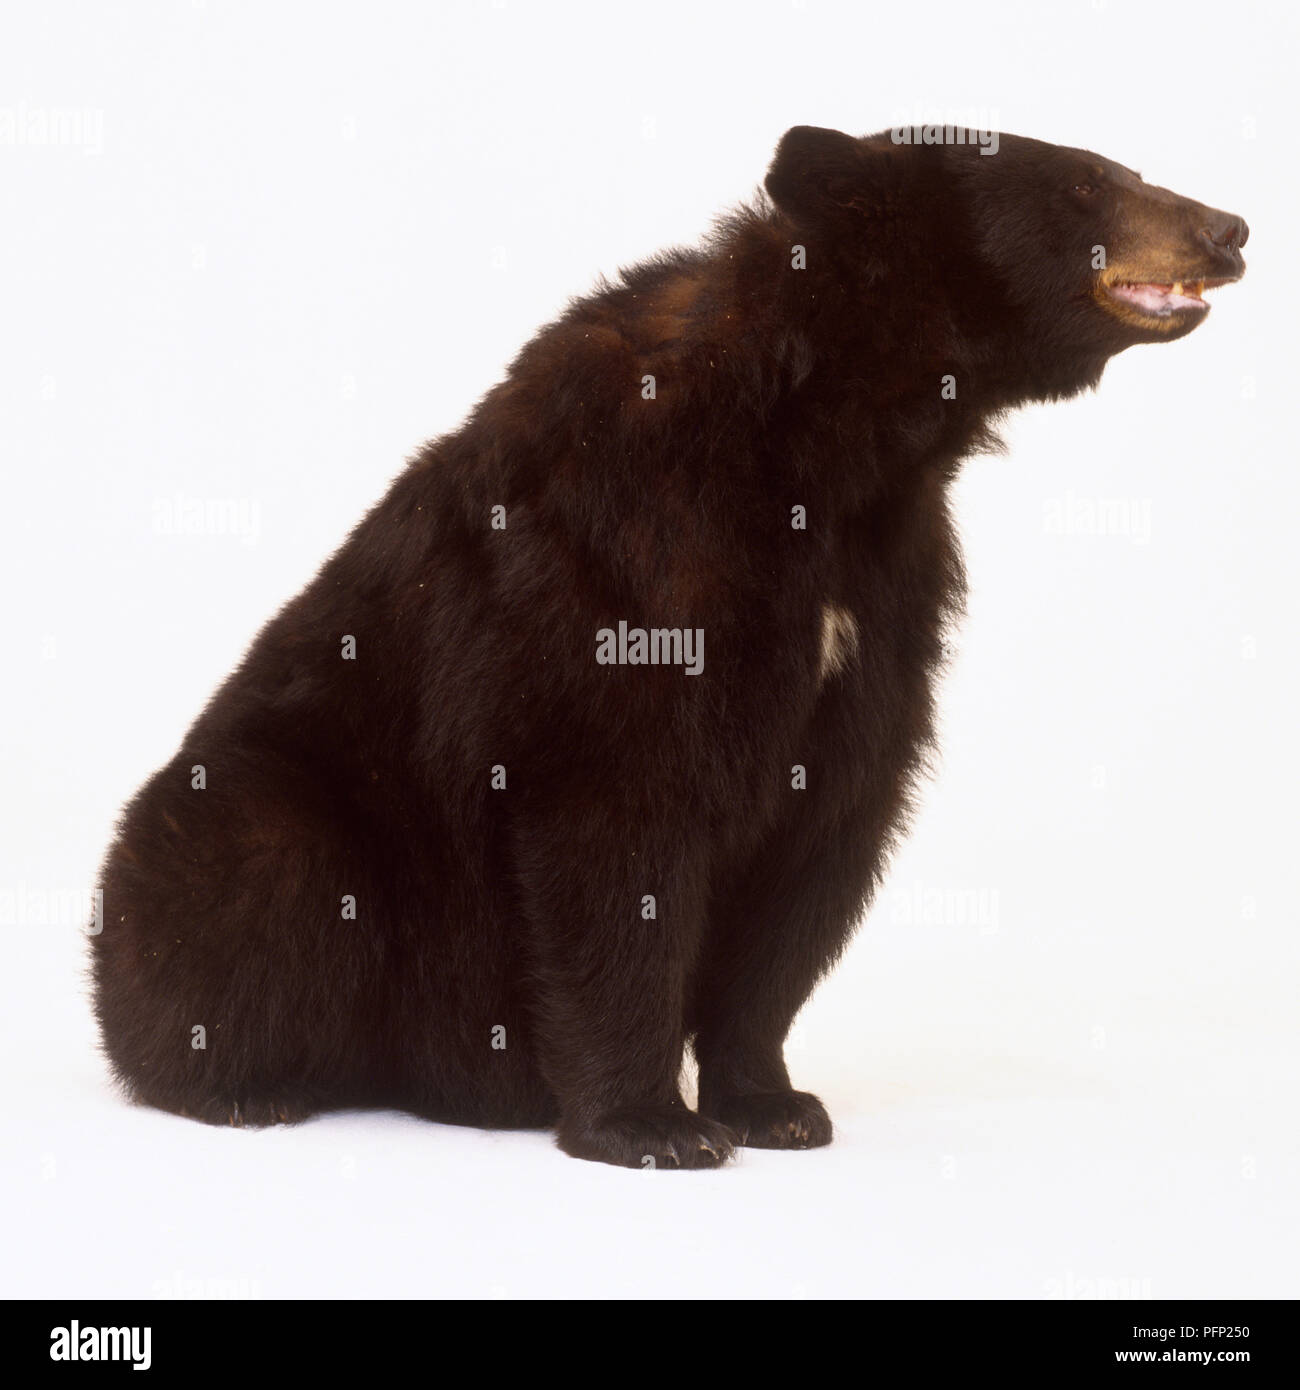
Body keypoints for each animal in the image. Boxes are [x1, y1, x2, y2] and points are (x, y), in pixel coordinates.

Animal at [91, 126, 1247, 1168]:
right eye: (1085, 182)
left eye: (1115, 168)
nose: (1229, 228)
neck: (828, 438)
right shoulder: (629, 569)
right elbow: (617, 829)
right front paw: (650, 1123)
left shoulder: (881, 602)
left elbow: (815, 851)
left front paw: (771, 1101)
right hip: (270, 808)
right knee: (259, 875)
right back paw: (241, 1084)